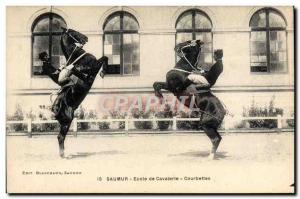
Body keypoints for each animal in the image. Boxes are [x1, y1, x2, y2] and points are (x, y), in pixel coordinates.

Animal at [39, 27, 108, 157]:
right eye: (73, 32)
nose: (86, 38)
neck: (77, 57)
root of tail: (54, 109)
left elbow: (104, 58)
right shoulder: (93, 65)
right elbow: (103, 58)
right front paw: (102, 72)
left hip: (65, 123)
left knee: (60, 137)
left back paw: (63, 153)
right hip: (67, 121)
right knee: (60, 137)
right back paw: (63, 155)